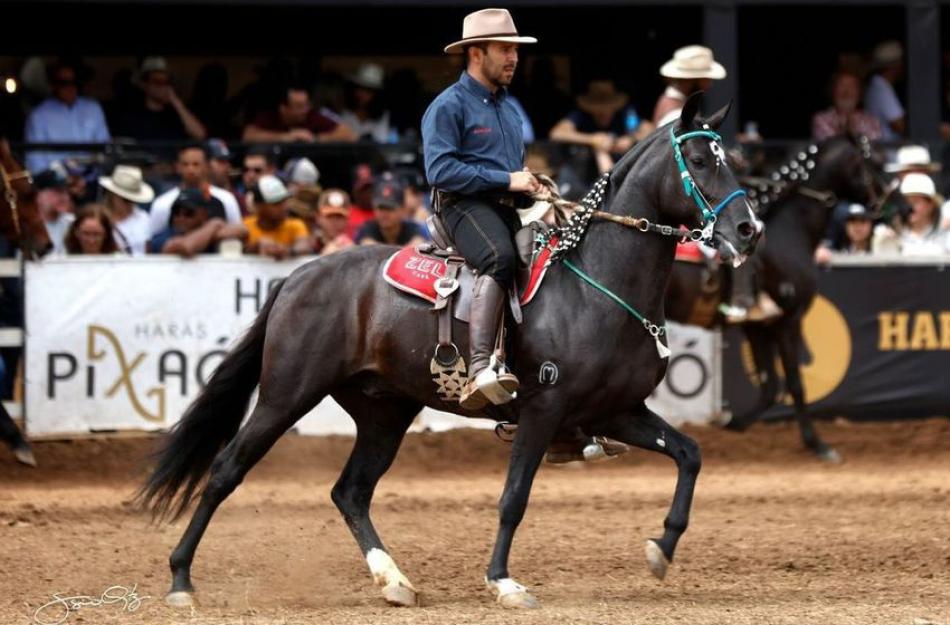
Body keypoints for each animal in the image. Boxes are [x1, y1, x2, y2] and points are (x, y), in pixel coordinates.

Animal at [143, 96, 768, 608]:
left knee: (351, 491)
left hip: (383, 411)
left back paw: (394, 581)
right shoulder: (544, 408)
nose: (749, 228)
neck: (596, 283)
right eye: (702, 161)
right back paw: (180, 580)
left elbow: (689, 454)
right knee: (226, 470)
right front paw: (503, 581)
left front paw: (662, 548)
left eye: (732, 157)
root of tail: (300, 276)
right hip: (285, 395)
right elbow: (514, 497)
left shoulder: (616, 411)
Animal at [664, 134, 896, 460]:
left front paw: (732, 424)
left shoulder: (759, 325)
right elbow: (795, 383)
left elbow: (770, 386)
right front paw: (817, 443)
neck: (790, 229)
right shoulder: (790, 318)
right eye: (871, 159)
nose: (891, 196)